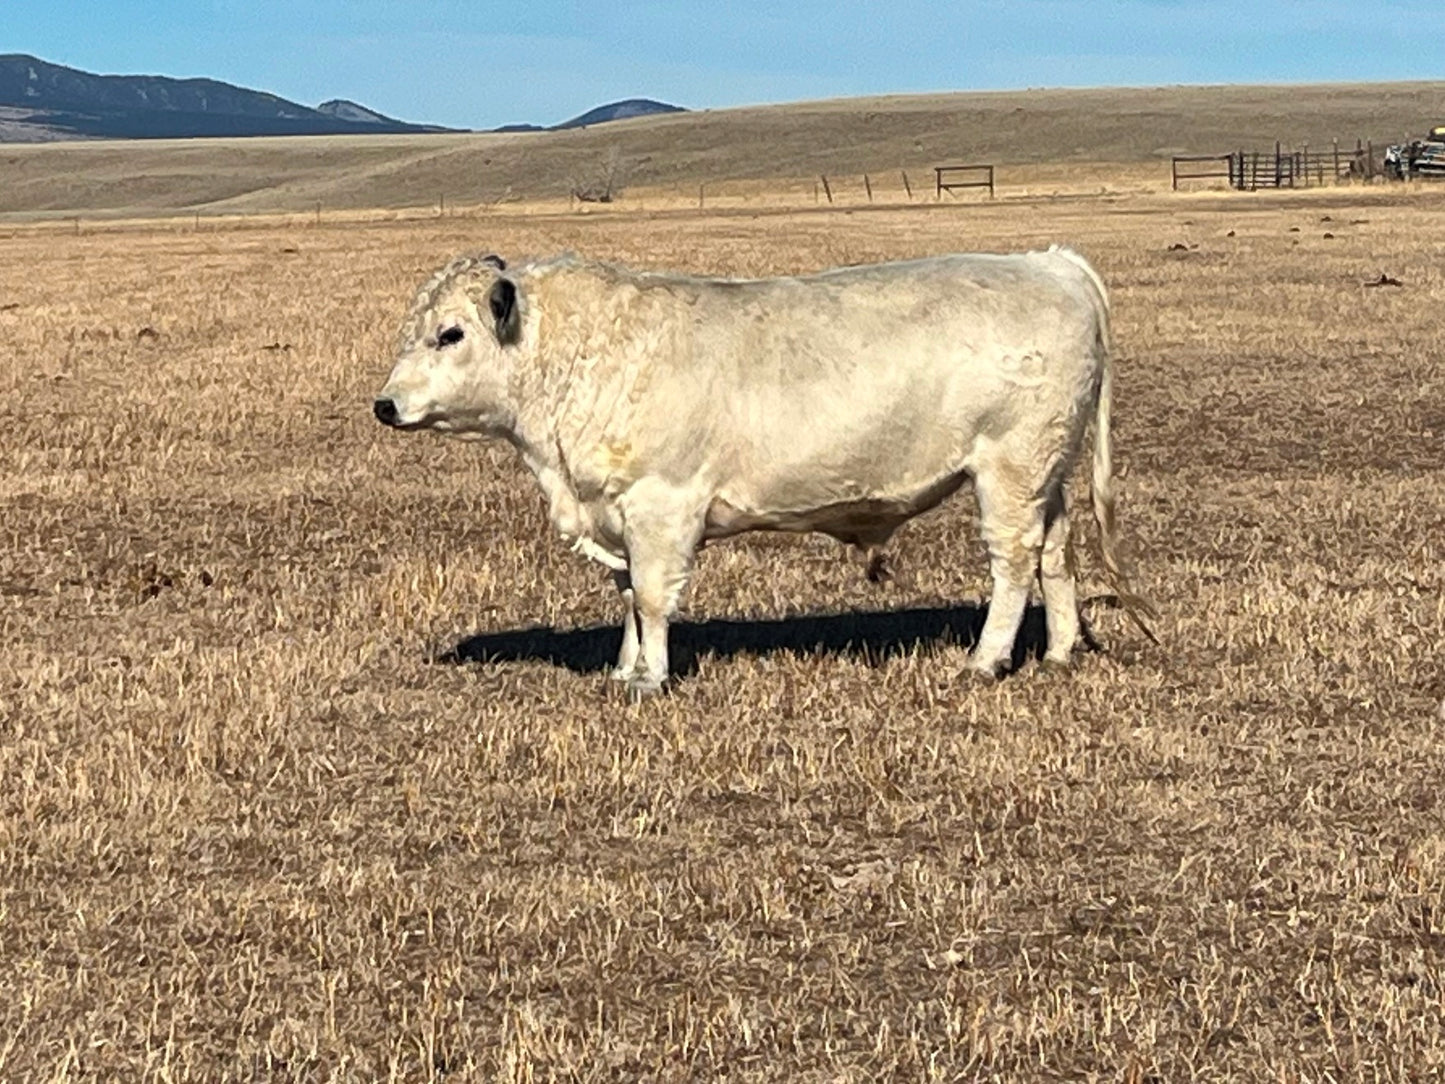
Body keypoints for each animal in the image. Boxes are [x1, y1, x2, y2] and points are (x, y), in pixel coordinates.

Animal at [373, 247, 1154, 697]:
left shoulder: (661, 506)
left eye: (450, 334)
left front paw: (650, 678)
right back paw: (1057, 653)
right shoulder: (618, 512)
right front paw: (625, 668)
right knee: (1055, 552)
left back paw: (985, 661)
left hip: (1010, 466)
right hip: (1044, 472)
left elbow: (651, 598)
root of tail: (1048, 260)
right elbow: (628, 598)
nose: (385, 404)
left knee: (1013, 562)